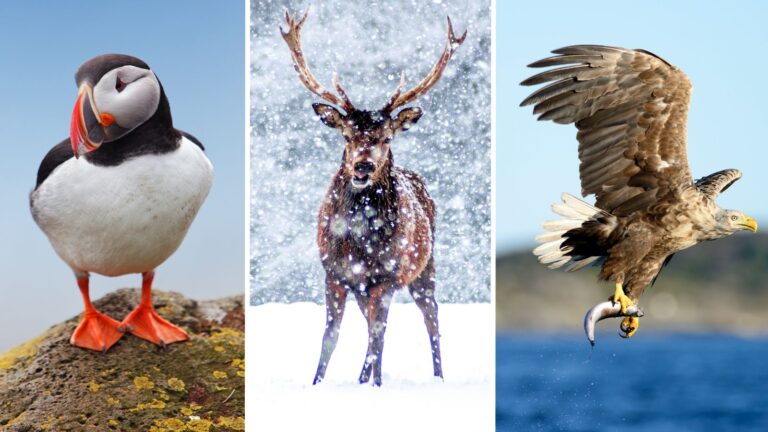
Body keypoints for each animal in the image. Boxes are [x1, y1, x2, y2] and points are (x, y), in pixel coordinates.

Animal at [280, 8, 466, 386]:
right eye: (347, 135)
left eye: (386, 137)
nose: (363, 166)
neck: (358, 241)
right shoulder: (335, 274)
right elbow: (331, 336)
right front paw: (318, 383)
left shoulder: (387, 277)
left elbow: (377, 336)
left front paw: (374, 384)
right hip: (364, 287)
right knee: (372, 324)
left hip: (424, 267)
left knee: (429, 316)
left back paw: (436, 377)